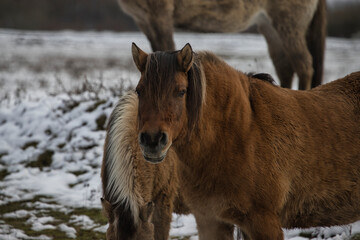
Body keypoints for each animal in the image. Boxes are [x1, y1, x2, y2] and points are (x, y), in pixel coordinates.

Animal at [118, 0, 326, 90]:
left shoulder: (159, 15)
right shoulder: (145, 20)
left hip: (289, 21)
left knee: (304, 65)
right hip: (270, 26)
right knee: (285, 68)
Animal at [131, 43, 360, 240]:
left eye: (181, 91)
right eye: (139, 90)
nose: (152, 140)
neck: (240, 132)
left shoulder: (264, 222)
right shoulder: (211, 220)